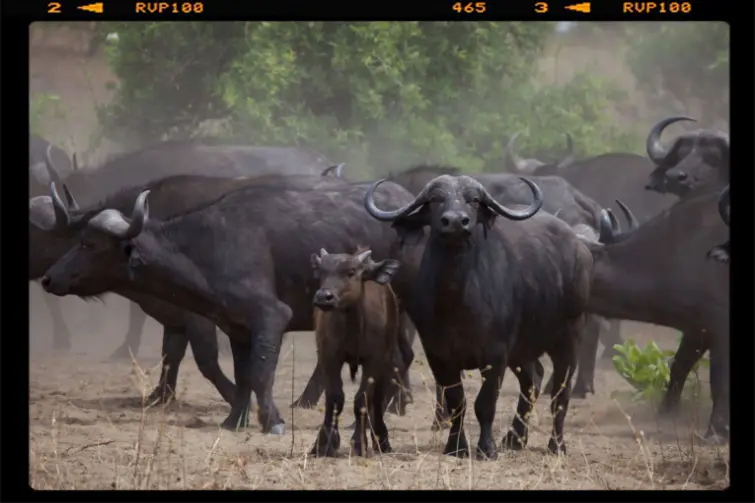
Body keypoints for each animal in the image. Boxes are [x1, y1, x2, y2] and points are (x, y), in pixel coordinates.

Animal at [364, 174, 593, 458]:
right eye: (435, 199)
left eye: (473, 200)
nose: (455, 222)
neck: (457, 300)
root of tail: (580, 248)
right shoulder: (438, 355)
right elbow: (456, 402)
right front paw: (456, 446)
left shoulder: (495, 355)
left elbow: (485, 403)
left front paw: (486, 448)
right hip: (522, 350)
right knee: (534, 379)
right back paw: (515, 438)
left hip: (569, 337)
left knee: (560, 393)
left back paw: (556, 445)